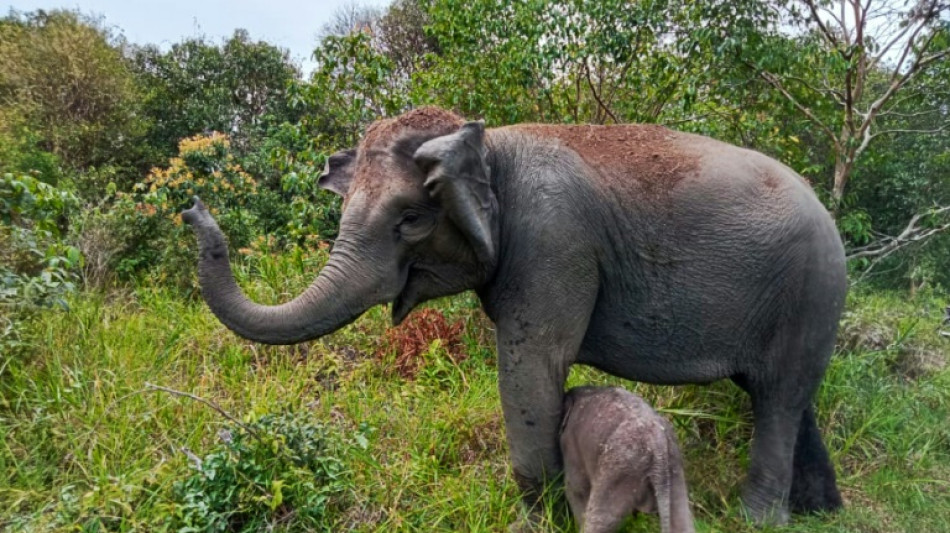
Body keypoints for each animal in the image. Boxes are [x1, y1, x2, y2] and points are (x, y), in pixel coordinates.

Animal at [560, 386, 694, 533]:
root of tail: (658, 444)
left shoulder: (571, 447)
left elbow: (575, 489)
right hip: (674, 467)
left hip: (621, 470)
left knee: (600, 518)